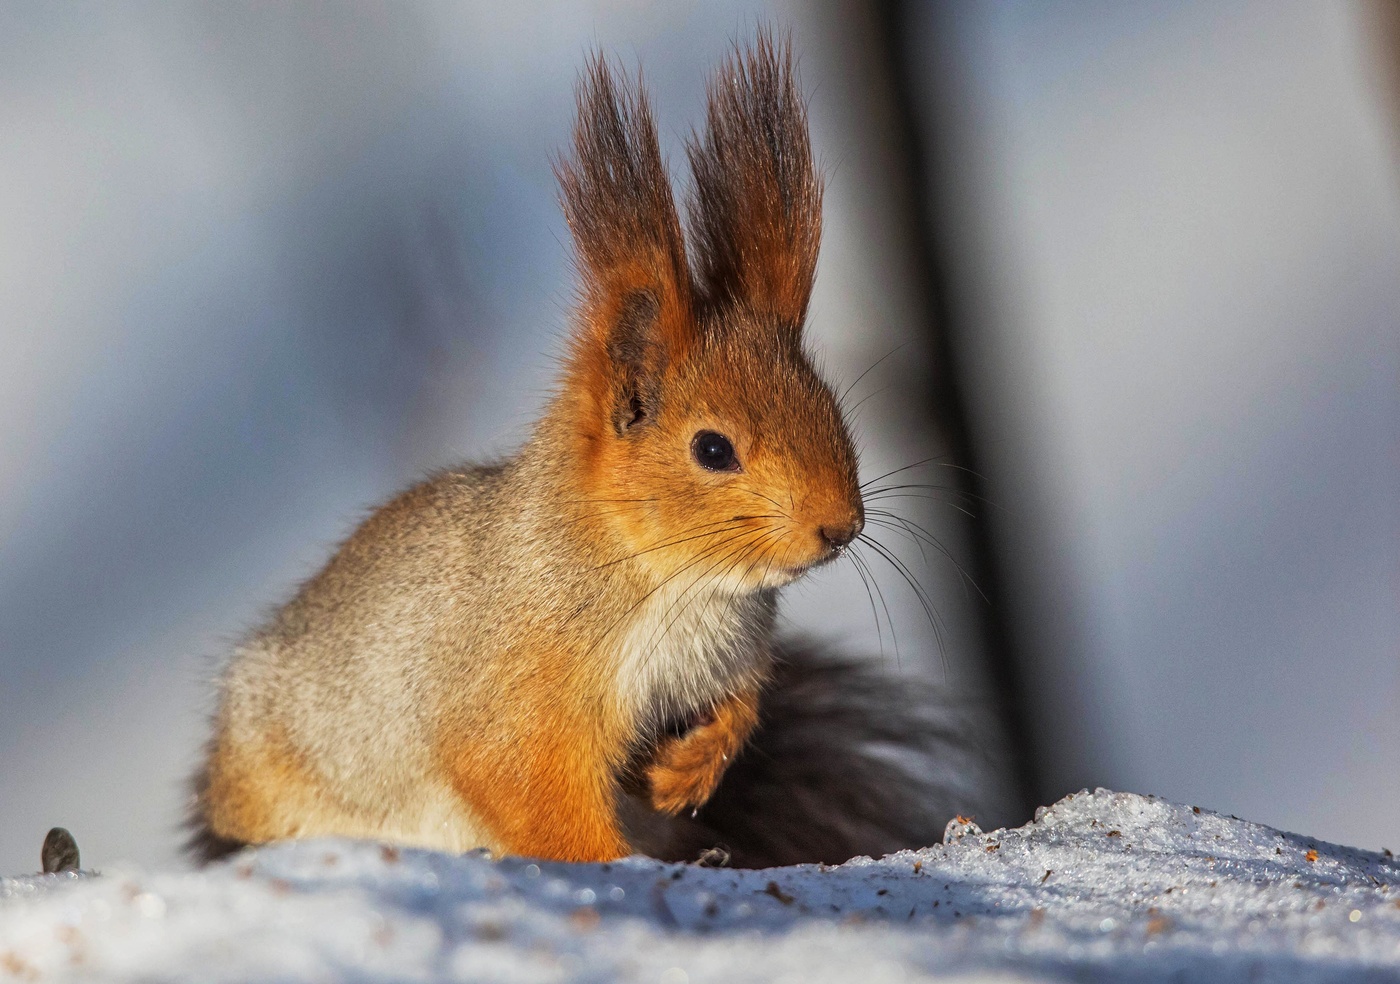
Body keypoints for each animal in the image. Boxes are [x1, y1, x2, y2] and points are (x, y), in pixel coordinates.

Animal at [190, 32, 998, 867]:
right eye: (713, 450)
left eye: (831, 410)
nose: (840, 527)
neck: (682, 586)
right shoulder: (519, 699)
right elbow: (536, 796)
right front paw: (613, 863)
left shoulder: (727, 662)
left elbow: (740, 713)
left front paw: (683, 773)